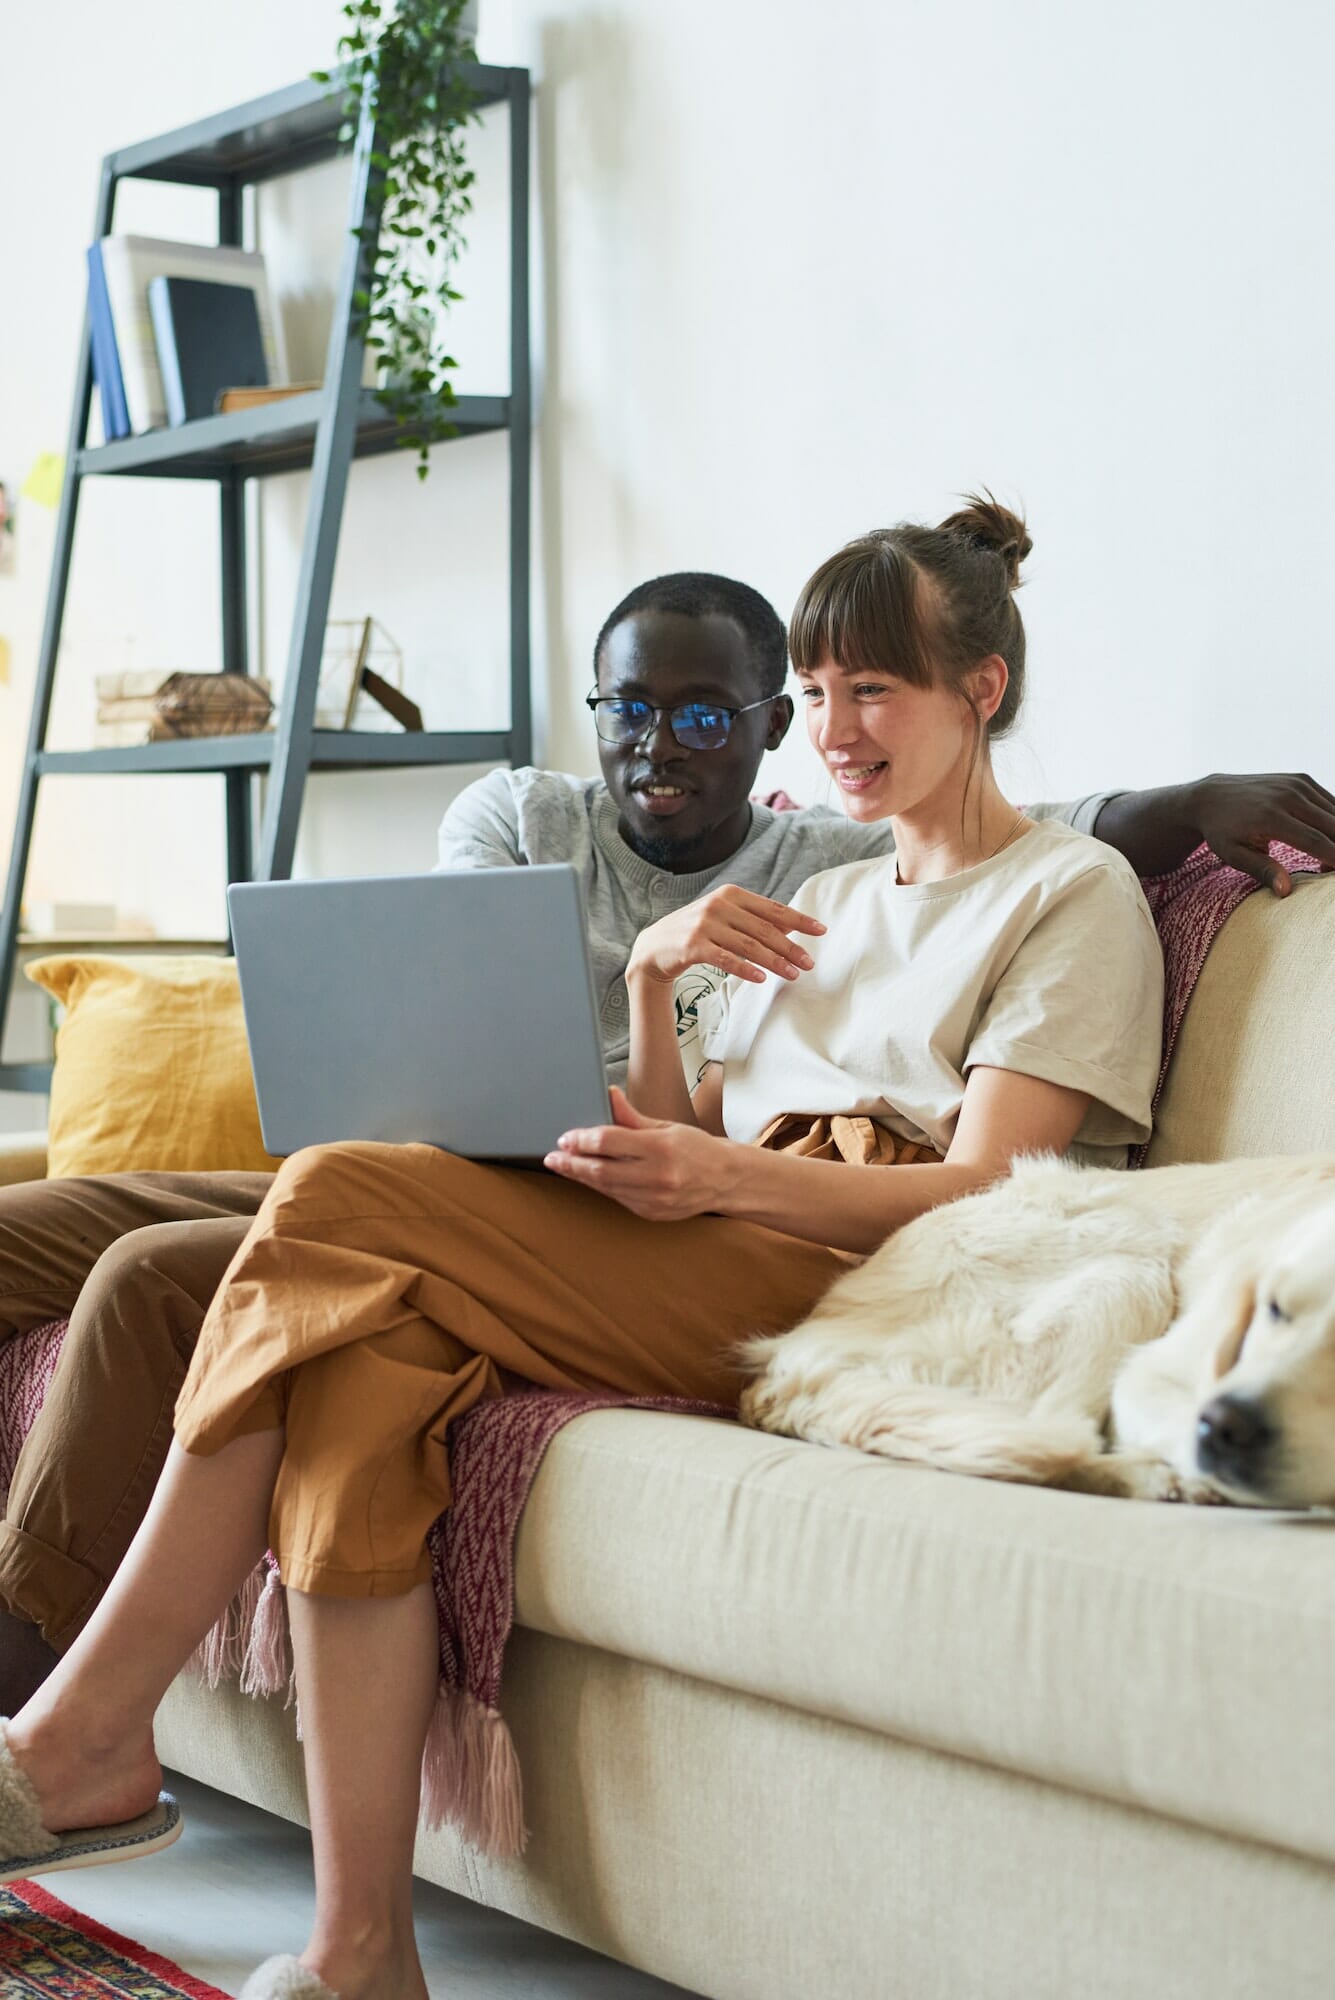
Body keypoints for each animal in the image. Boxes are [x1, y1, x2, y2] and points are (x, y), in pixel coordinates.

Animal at [735, 1152, 1335, 1504]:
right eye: (1276, 1310)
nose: (1237, 1427)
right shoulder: (1157, 1368)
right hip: (1127, 1273)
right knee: (1047, 1441)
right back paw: (1159, 1478)